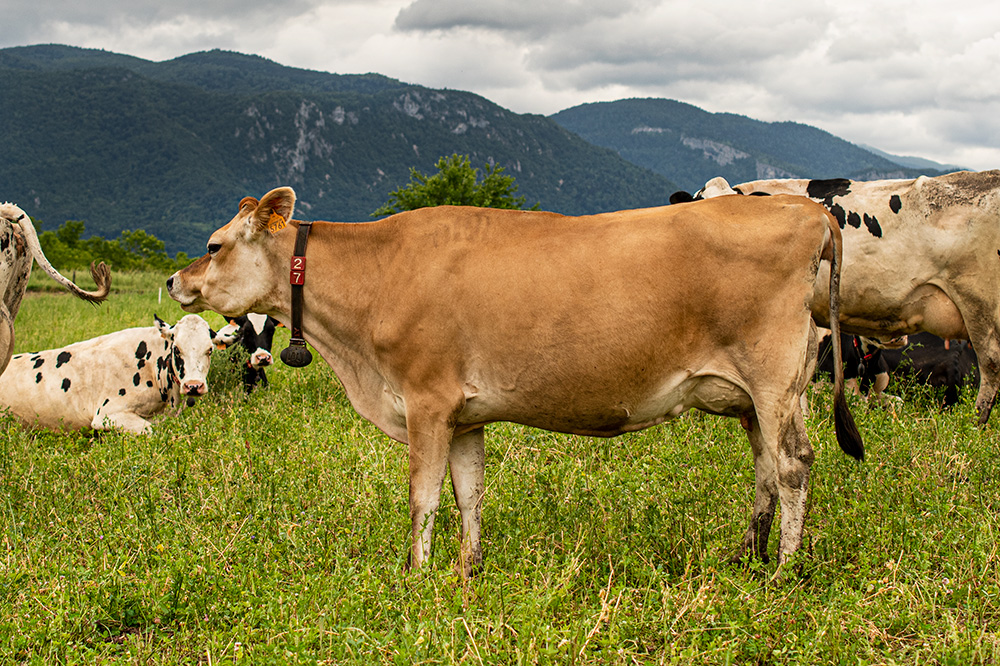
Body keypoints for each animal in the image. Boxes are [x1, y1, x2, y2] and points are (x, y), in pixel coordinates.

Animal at [168, 188, 864, 576]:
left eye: (215, 244)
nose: (175, 280)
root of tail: (805, 209)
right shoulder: (464, 414)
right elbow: (467, 494)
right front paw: (466, 571)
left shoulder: (426, 399)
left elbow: (423, 498)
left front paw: (415, 576)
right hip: (756, 395)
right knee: (766, 467)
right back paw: (749, 556)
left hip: (775, 379)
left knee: (794, 465)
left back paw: (783, 571)